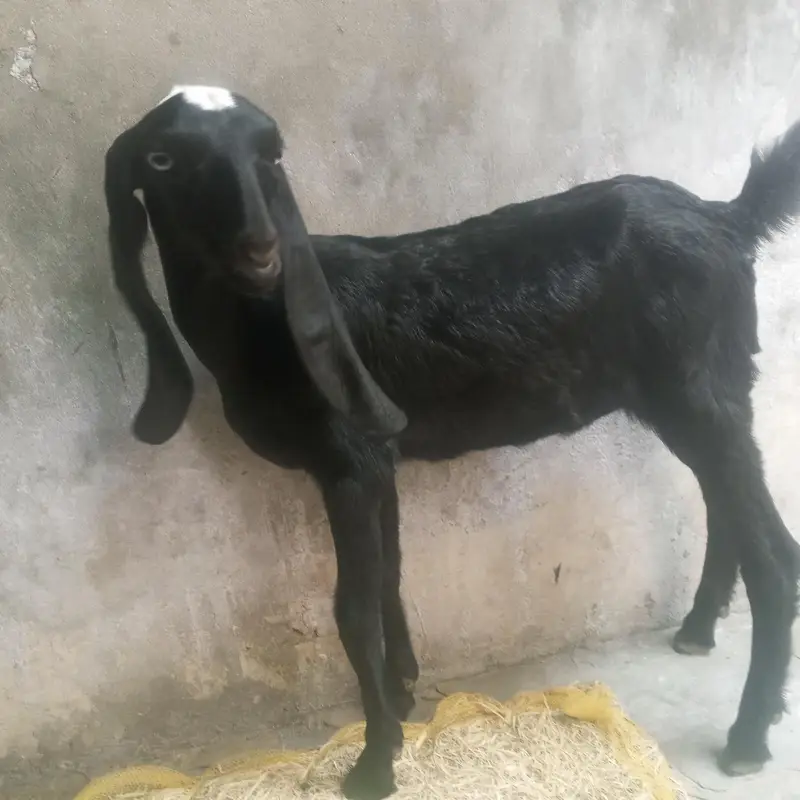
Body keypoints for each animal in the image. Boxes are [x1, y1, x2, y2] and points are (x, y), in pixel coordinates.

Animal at [104, 85, 800, 799]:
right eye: (162, 159)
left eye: (271, 154)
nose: (260, 250)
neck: (263, 319)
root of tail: (726, 218)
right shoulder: (378, 458)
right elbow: (389, 575)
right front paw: (401, 694)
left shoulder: (349, 463)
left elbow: (352, 609)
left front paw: (375, 761)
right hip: (697, 396)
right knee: (727, 508)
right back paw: (702, 632)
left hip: (698, 391)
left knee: (775, 554)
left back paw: (748, 734)